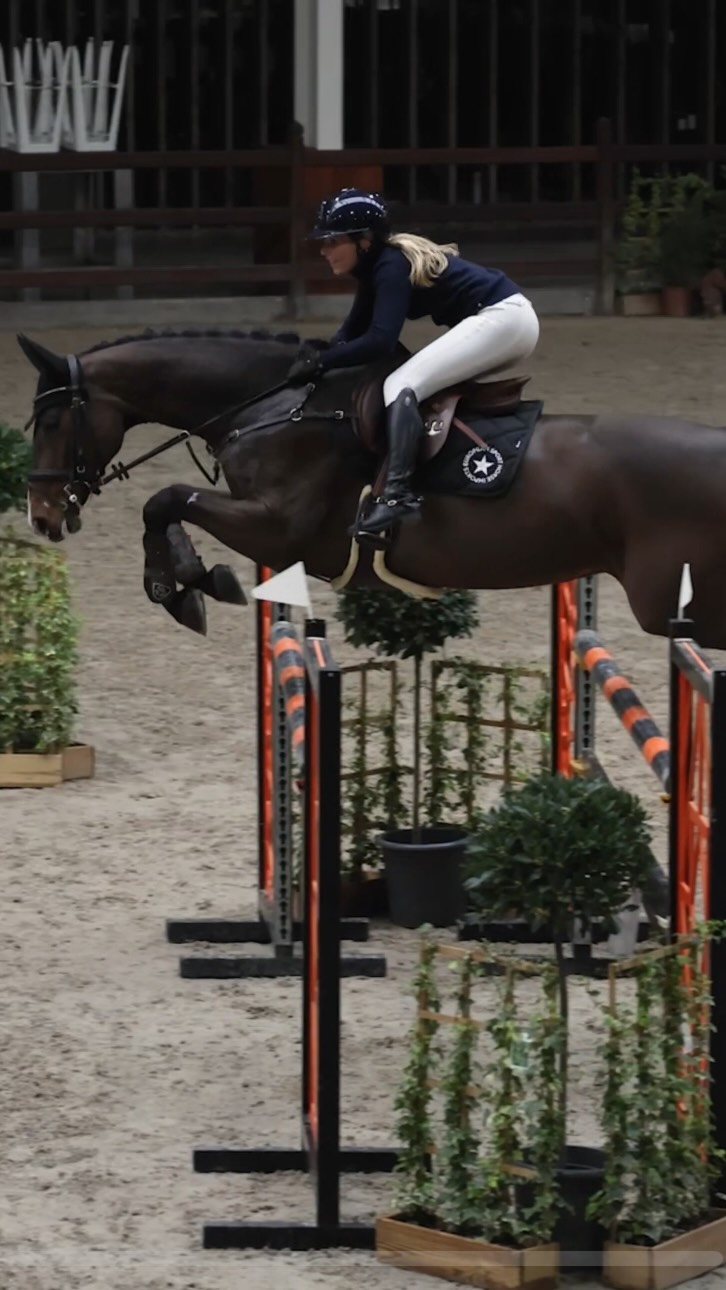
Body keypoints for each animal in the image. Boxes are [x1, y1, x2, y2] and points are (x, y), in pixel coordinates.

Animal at [18, 327, 726, 647]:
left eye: (51, 422)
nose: (42, 516)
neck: (273, 407)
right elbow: (166, 506)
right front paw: (194, 580)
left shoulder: (278, 526)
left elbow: (163, 500)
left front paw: (184, 587)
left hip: (672, 603)